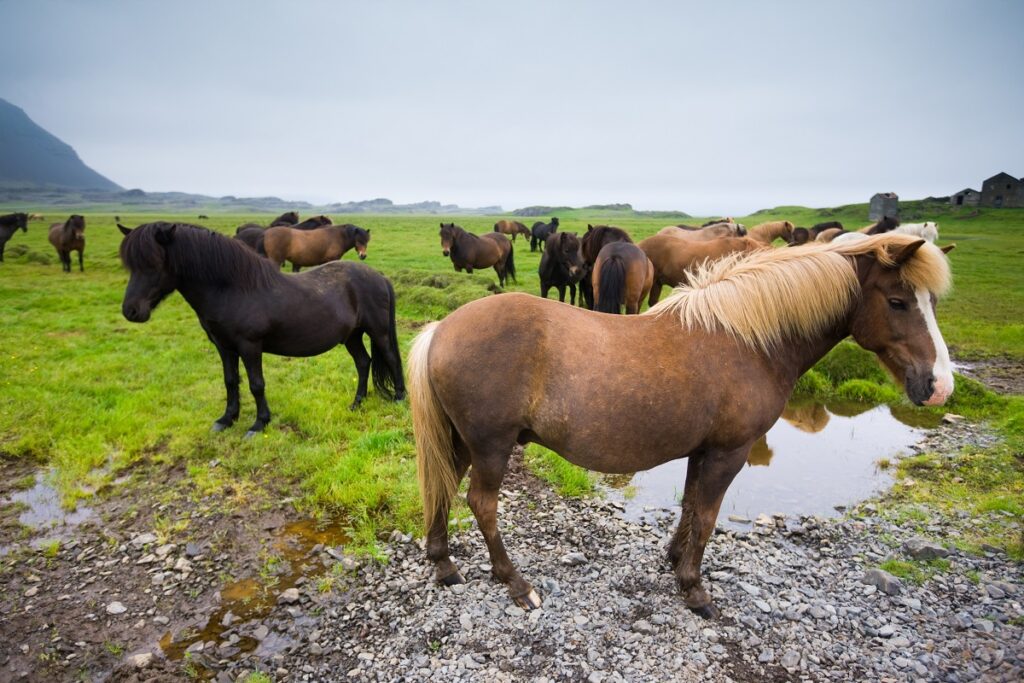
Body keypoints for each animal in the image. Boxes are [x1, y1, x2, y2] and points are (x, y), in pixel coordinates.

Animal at [118, 222, 403, 436]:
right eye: (130, 265)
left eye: (153, 263)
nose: (130, 311)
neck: (233, 289)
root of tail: (379, 276)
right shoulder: (224, 347)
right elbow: (230, 381)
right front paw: (226, 419)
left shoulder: (249, 346)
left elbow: (256, 384)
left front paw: (258, 424)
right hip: (351, 335)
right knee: (363, 363)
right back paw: (356, 403)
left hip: (378, 332)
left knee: (390, 358)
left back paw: (400, 398)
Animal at [407, 233, 950, 614]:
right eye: (898, 301)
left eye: (932, 303)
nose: (939, 384)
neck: (748, 339)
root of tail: (441, 329)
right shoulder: (730, 452)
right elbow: (707, 517)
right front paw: (694, 590)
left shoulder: (702, 450)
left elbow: (690, 506)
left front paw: (674, 559)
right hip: (492, 446)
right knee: (481, 504)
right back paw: (516, 584)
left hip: (463, 442)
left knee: (443, 487)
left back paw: (445, 566)